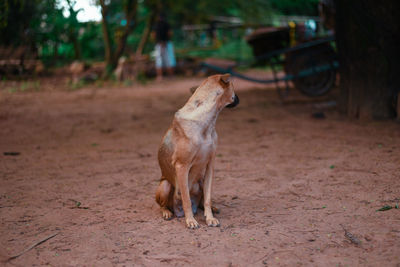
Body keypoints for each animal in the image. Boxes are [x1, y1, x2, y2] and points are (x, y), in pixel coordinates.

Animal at [155, 74, 238, 229]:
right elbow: (186, 199)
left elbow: (208, 198)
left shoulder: (210, 165)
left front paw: (210, 218)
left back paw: (213, 209)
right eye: (233, 88)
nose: (238, 99)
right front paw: (190, 220)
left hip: (200, 180)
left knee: (201, 201)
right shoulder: (182, 166)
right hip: (165, 185)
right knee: (164, 205)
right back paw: (167, 212)